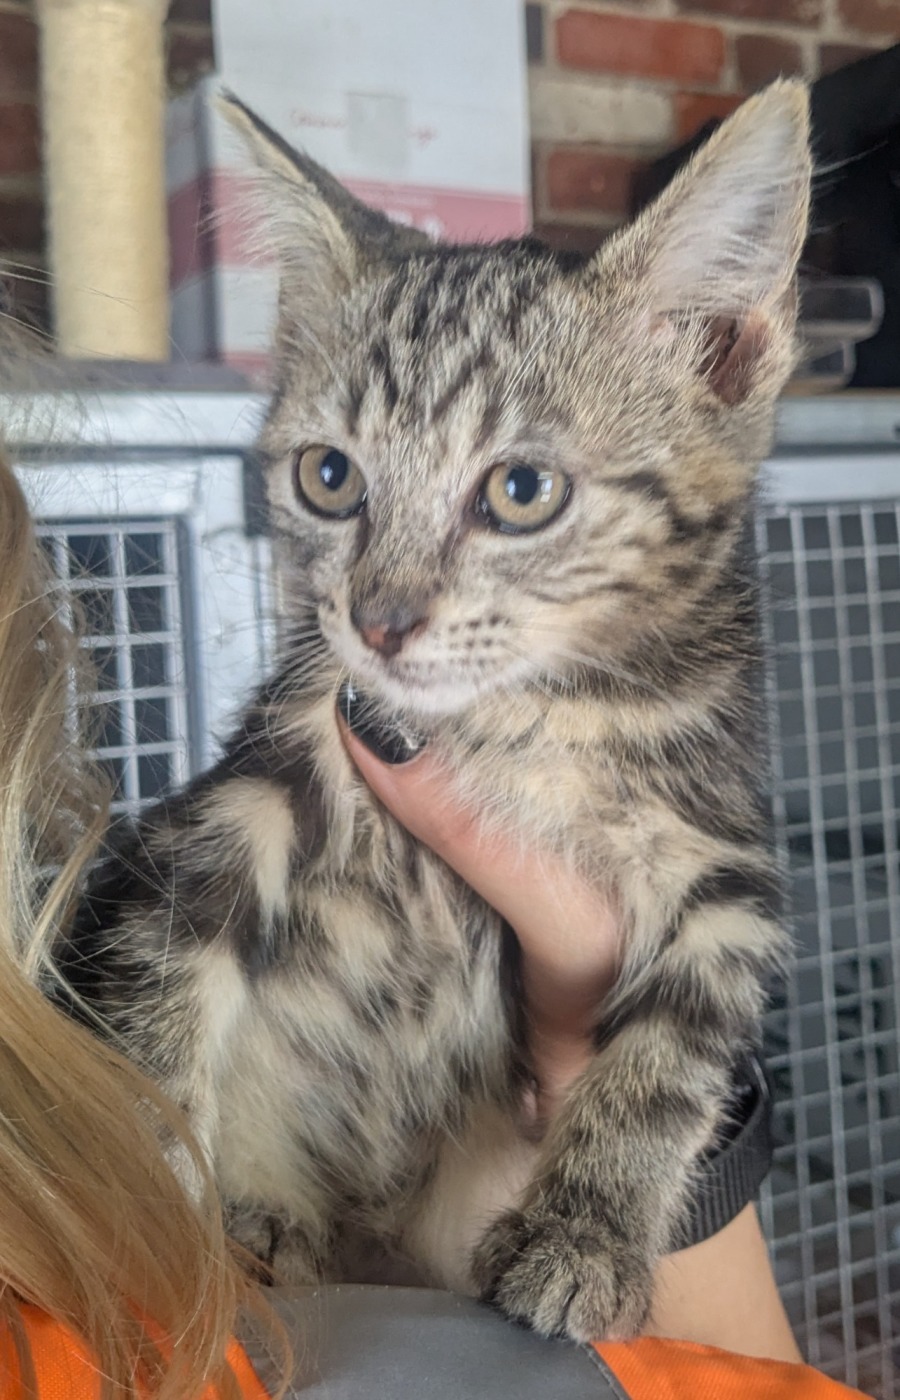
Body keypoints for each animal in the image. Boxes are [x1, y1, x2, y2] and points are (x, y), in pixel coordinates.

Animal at [60, 81, 811, 1343]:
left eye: (522, 491)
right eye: (328, 478)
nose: (380, 619)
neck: (527, 716)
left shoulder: (723, 861)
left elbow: (668, 1057)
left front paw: (584, 1234)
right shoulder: (263, 776)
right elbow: (165, 974)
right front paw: (157, 1189)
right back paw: (260, 1221)